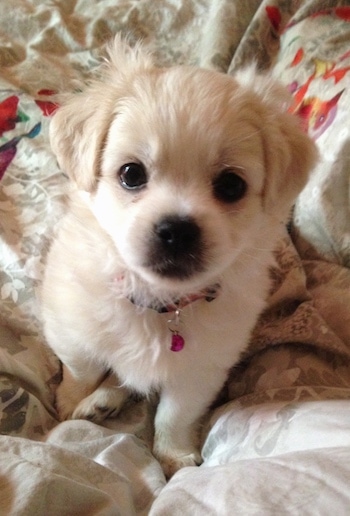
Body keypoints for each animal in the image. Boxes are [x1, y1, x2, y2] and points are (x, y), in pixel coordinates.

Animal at [41, 37, 318, 480]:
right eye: (131, 174)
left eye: (231, 185)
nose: (177, 230)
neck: (159, 304)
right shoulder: (70, 327)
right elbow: (81, 369)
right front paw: (68, 406)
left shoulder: (200, 369)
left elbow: (173, 414)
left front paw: (173, 455)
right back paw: (98, 403)